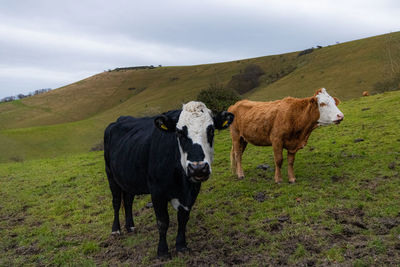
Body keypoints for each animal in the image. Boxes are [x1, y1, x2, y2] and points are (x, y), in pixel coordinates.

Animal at [104, 101, 234, 258]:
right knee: (117, 202)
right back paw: (116, 229)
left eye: (211, 131)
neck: (181, 182)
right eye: (179, 132)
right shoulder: (157, 192)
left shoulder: (192, 191)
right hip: (111, 175)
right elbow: (162, 221)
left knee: (128, 201)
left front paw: (181, 245)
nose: (198, 168)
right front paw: (162, 251)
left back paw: (130, 226)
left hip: (129, 178)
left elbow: (183, 218)